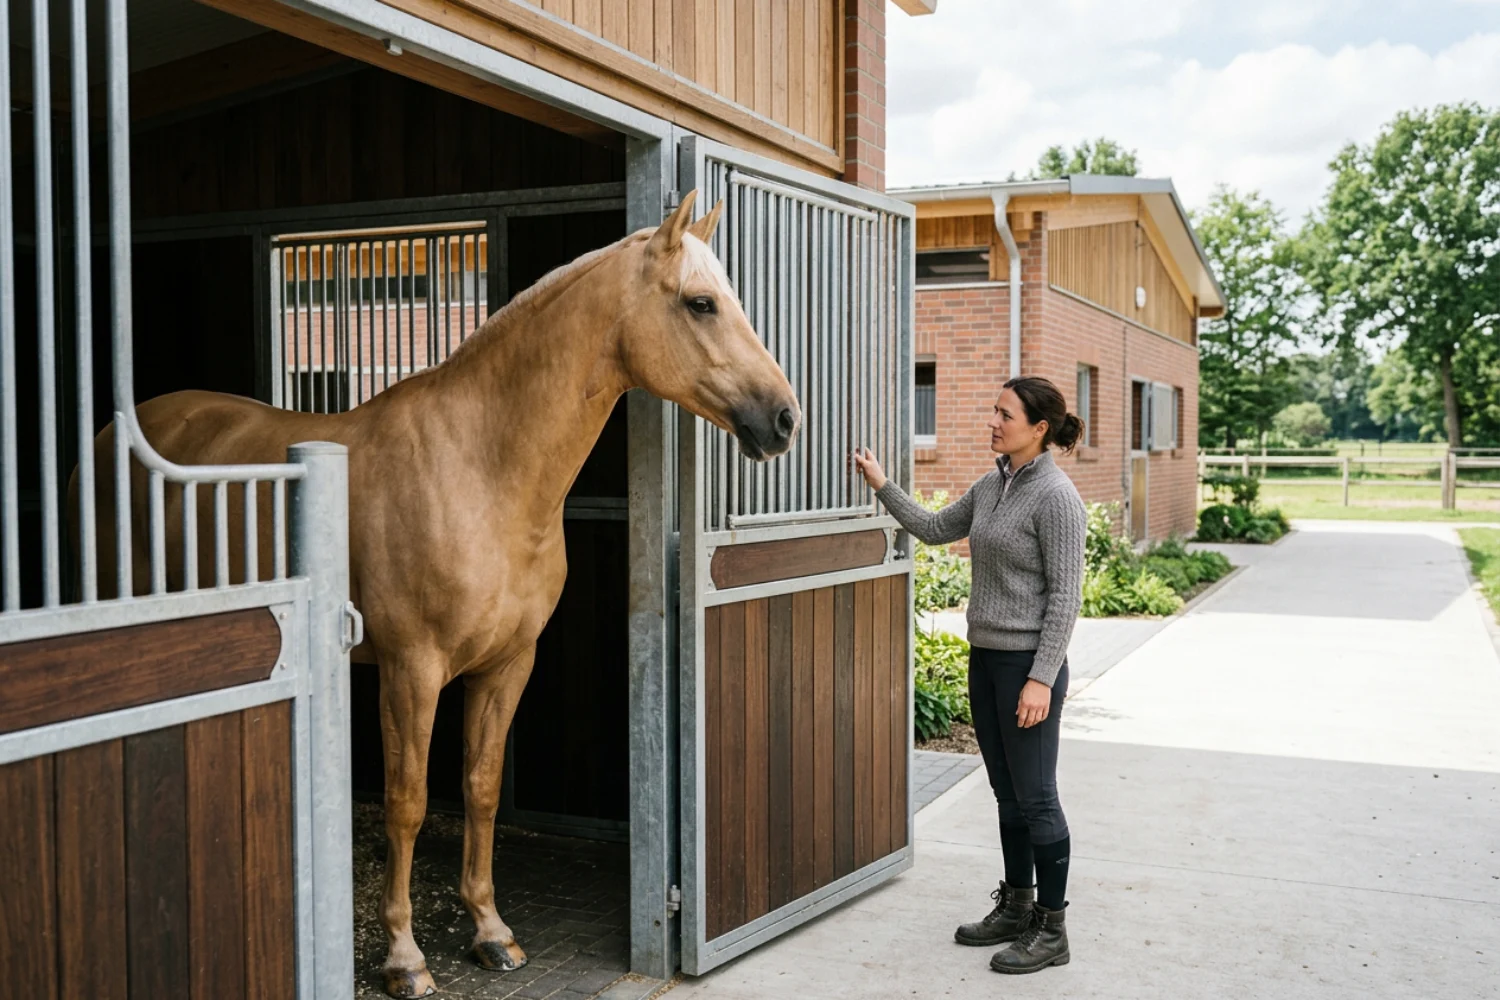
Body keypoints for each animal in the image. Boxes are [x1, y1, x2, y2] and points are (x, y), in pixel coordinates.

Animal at [80, 191, 799, 997]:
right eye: (701, 303)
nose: (784, 418)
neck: (481, 467)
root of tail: (120, 431)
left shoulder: (509, 663)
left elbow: (479, 786)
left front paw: (490, 931)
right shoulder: (410, 671)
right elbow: (409, 802)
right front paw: (404, 958)